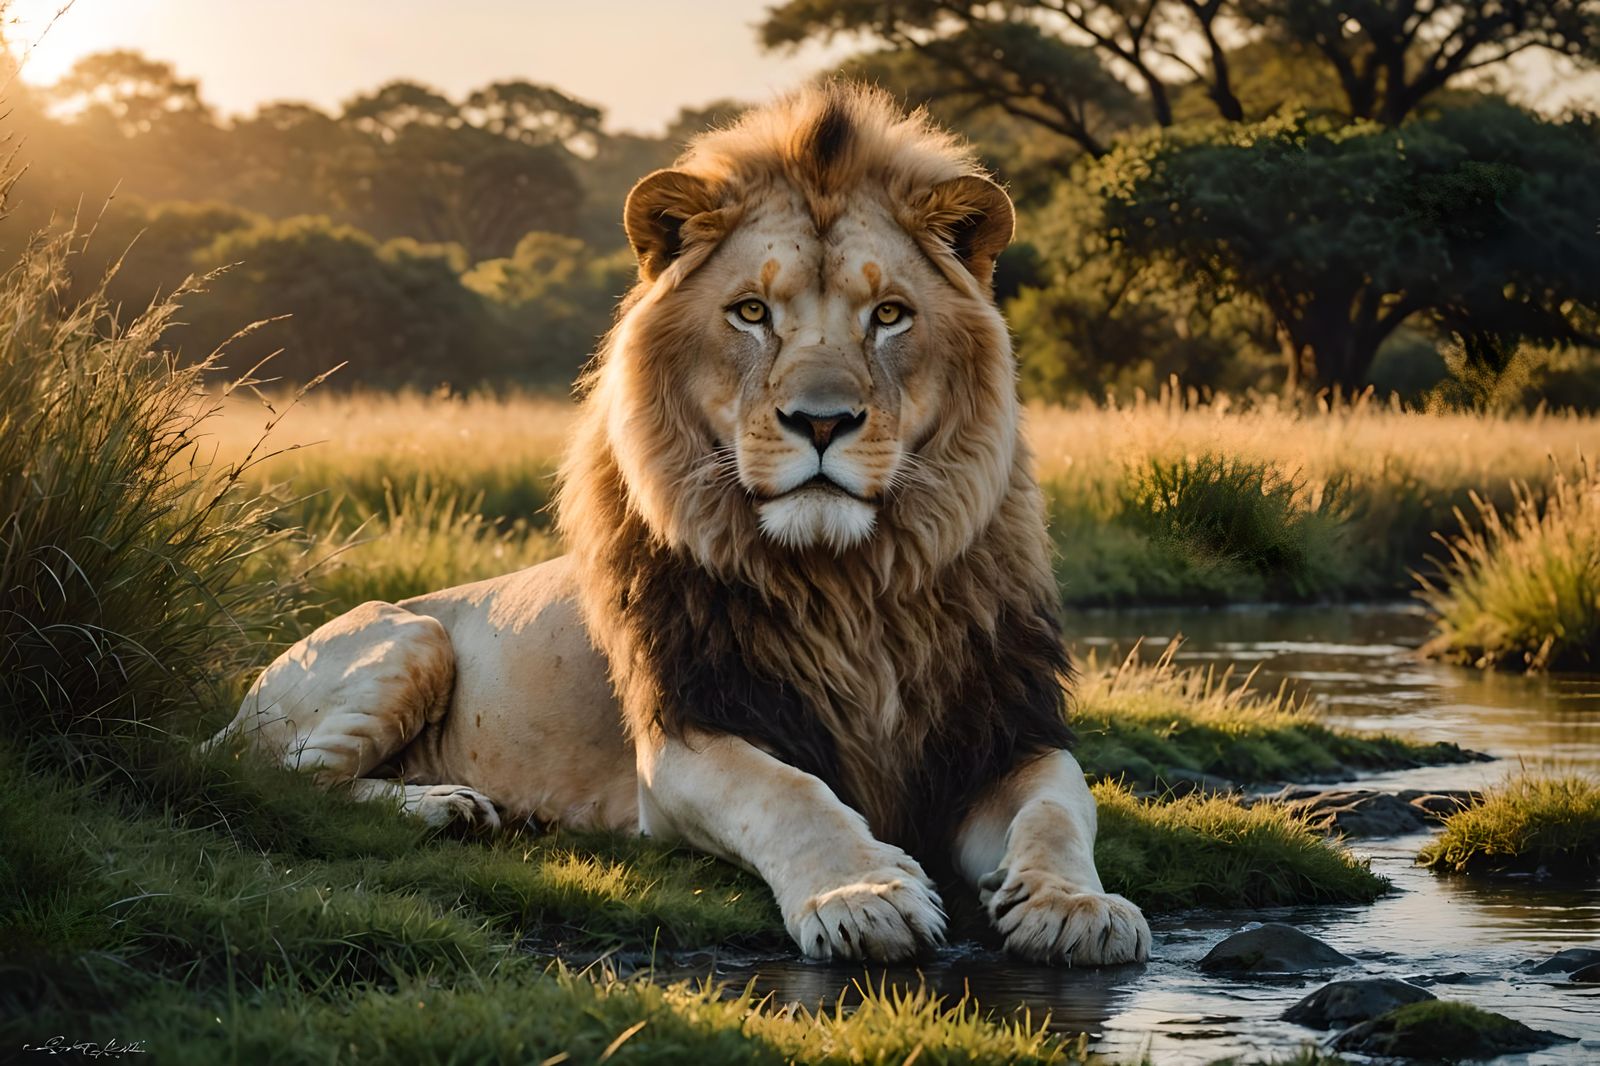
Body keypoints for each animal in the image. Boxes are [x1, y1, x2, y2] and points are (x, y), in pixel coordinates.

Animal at [213, 82, 1151, 966]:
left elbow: (1061, 808)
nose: (821, 422)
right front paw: (863, 895)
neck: (849, 587)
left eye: (889, 315)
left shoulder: (1006, 733)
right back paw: (446, 805)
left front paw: (1078, 908)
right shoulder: (682, 741)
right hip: (411, 637)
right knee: (282, 781)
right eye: (751, 312)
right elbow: (791, 795)